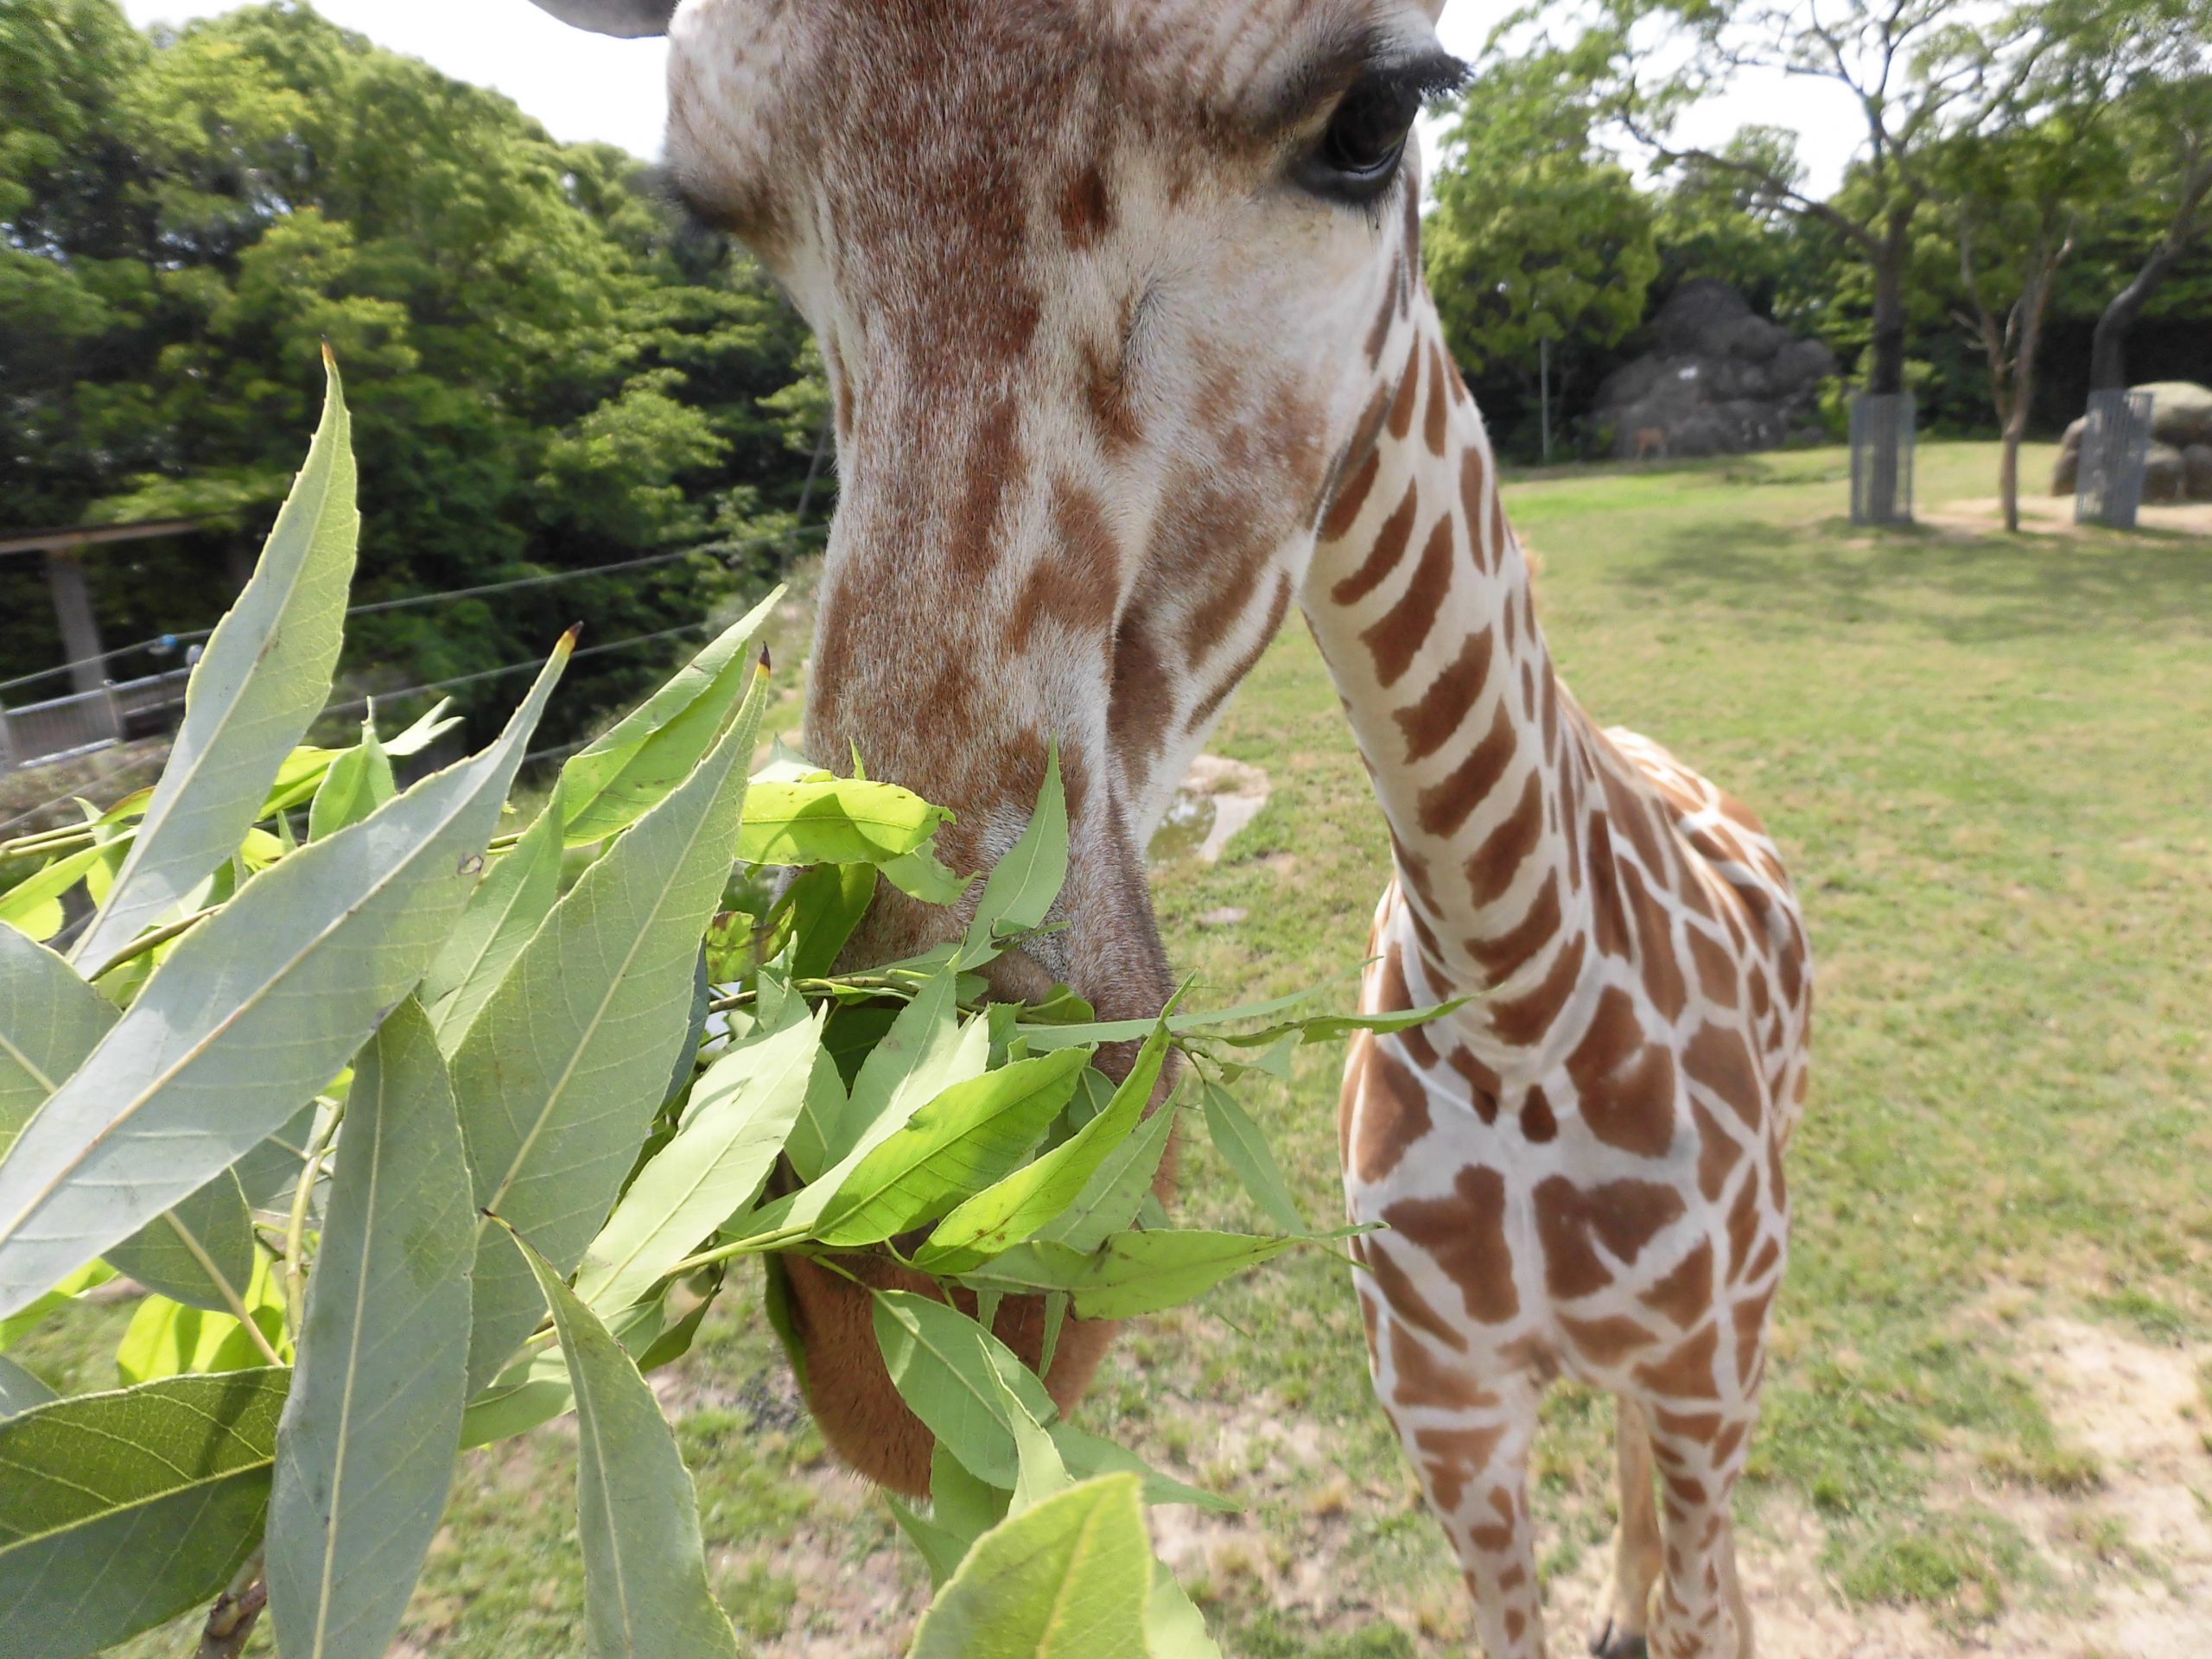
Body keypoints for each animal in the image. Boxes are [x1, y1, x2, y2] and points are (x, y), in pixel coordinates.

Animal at [535, 0, 1814, 1654]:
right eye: (714, 213)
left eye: (1376, 116)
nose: (914, 1301)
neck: (1522, 1009)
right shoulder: (1448, 1413)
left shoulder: (1711, 1378)